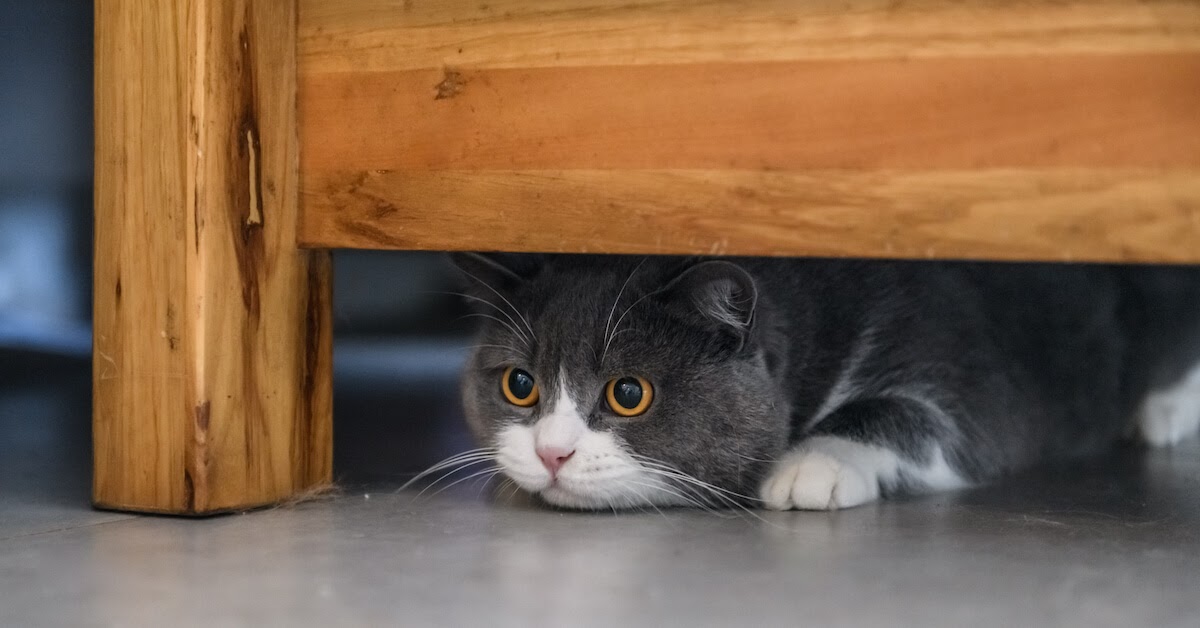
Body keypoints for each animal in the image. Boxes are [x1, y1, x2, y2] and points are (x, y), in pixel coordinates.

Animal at [448, 254, 1200, 511]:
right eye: (519, 384)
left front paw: (811, 466)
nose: (551, 453)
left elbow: (933, 418)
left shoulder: (972, 372)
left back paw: (1161, 414)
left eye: (628, 393)